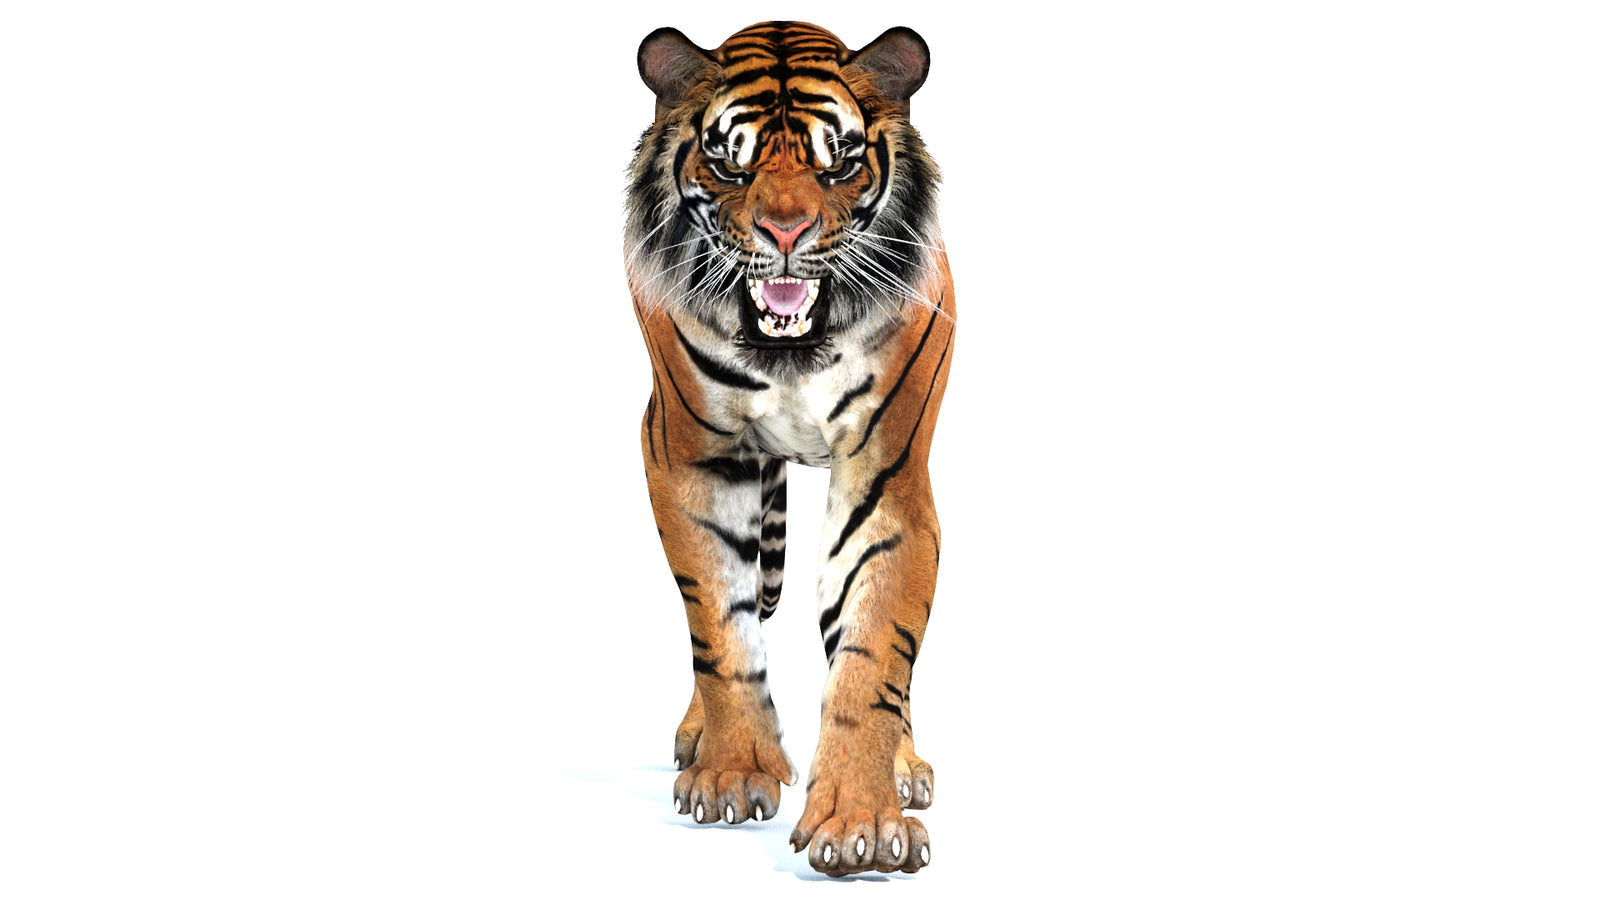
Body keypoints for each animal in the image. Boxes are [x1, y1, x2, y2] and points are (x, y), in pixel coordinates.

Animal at [625, 21, 955, 876]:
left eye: (837, 162)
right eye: (730, 163)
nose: (784, 233)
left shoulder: (886, 474)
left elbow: (873, 654)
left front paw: (862, 822)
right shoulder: (690, 460)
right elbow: (718, 625)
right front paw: (733, 771)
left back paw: (906, 767)